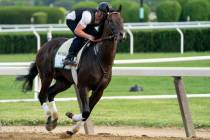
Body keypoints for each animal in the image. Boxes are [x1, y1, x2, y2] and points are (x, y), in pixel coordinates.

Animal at [20, 5, 123, 136]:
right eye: (110, 21)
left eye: (122, 20)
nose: (121, 34)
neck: (100, 58)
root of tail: (44, 46)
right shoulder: (83, 86)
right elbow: (85, 111)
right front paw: (72, 119)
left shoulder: (99, 90)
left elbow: (87, 111)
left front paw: (72, 126)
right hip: (46, 76)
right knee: (42, 95)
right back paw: (49, 119)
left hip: (64, 82)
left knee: (50, 93)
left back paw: (54, 119)